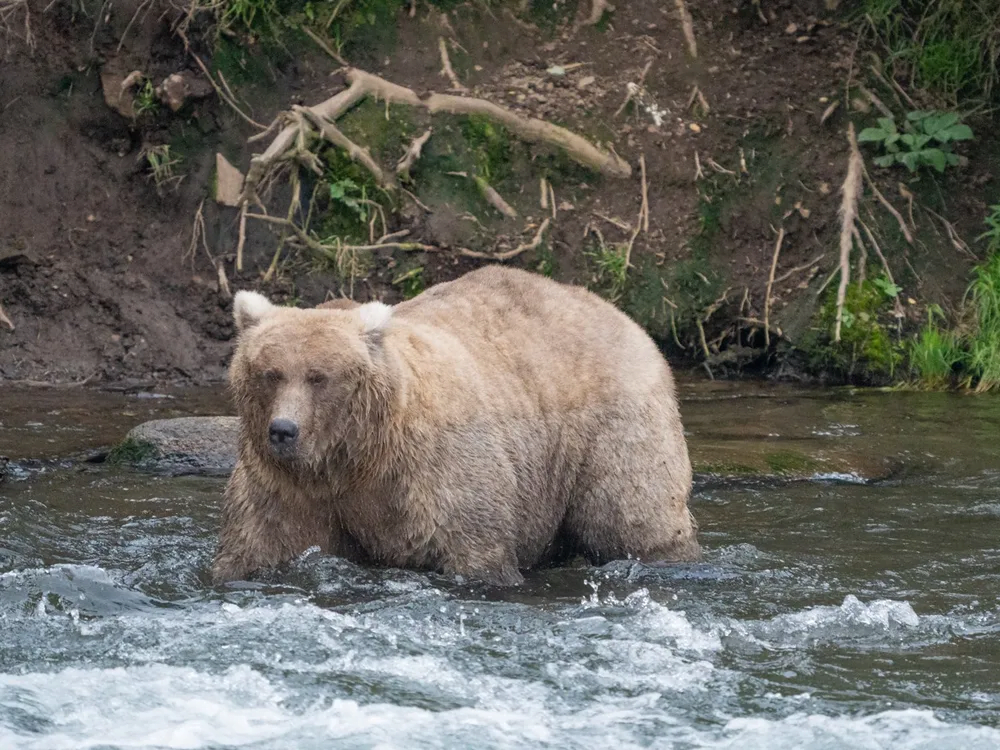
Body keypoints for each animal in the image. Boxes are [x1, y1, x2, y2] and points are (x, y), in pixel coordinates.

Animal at [212, 265, 700, 586]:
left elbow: (473, 545)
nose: (283, 430)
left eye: (319, 376)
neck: (356, 456)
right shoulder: (288, 487)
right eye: (270, 373)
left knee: (632, 515)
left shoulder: (435, 470)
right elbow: (260, 543)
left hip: (612, 427)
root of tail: (619, 314)